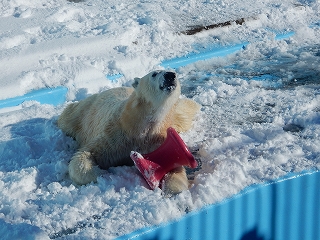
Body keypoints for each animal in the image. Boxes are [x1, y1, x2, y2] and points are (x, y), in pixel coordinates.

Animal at [56, 70, 199, 194]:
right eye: (154, 73)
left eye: (173, 72)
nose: (170, 75)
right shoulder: (115, 136)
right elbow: (87, 153)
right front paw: (101, 173)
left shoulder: (158, 139)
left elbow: (173, 164)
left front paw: (174, 188)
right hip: (83, 112)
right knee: (68, 116)